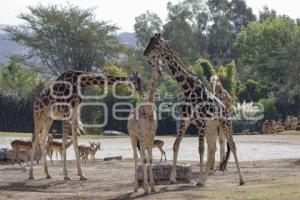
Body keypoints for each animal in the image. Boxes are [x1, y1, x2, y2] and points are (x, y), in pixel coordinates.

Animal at [127, 58, 162, 195]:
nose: (160, 72)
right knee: (136, 157)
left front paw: (152, 187)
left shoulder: (152, 134)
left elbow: (150, 159)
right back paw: (136, 187)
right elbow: (143, 159)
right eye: (153, 65)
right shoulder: (141, 135)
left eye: (162, 64)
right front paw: (146, 187)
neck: (148, 109)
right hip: (132, 136)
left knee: (144, 155)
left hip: (145, 139)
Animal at [142, 34, 244, 186]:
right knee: (213, 148)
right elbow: (176, 145)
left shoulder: (201, 122)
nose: (145, 52)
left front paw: (198, 179)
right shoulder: (185, 121)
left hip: (224, 123)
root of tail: (225, 107)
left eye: (157, 43)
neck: (187, 89)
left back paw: (241, 179)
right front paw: (172, 178)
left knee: (232, 145)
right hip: (211, 126)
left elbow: (200, 149)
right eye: (149, 41)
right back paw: (205, 179)